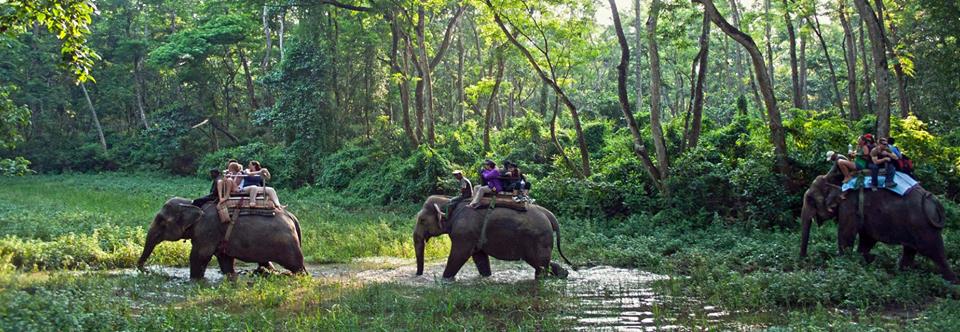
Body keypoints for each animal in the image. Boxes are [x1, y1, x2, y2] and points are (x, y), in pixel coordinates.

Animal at [135, 197, 306, 280]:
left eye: (162, 221)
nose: (145, 270)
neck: (192, 204)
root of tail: (292, 217)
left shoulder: (207, 230)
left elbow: (200, 256)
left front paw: (195, 280)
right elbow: (225, 260)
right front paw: (230, 276)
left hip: (287, 245)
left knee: (296, 266)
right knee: (265, 262)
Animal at [410, 195, 568, 280]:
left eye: (422, 220)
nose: (418, 275)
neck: (449, 201)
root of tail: (549, 215)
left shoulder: (464, 234)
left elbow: (458, 255)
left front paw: (445, 280)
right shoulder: (472, 235)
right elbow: (479, 257)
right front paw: (486, 277)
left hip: (539, 238)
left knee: (539, 265)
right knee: (540, 263)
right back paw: (563, 273)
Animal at [800, 174, 956, 282]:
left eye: (810, 199)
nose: (804, 260)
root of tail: (933, 200)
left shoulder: (849, 207)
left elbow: (846, 237)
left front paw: (845, 264)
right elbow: (867, 239)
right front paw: (866, 260)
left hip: (924, 227)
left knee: (935, 252)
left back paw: (951, 283)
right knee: (910, 250)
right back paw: (901, 274)